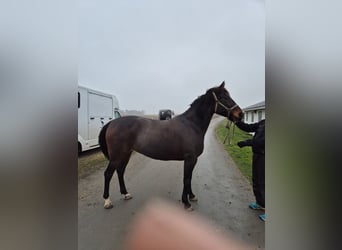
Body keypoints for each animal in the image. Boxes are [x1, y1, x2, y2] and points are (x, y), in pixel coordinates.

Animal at [99, 81, 243, 210]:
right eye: (223, 97)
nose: (240, 114)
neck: (192, 125)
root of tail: (112, 123)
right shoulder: (190, 159)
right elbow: (186, 179)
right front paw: (186, 202)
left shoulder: (193, 160)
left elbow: (190, 178)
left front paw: (191, 196)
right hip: (117, 156)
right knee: (108, 174)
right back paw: (107, 201)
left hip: (126, 154)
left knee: (120, 171)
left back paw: (125, 194)